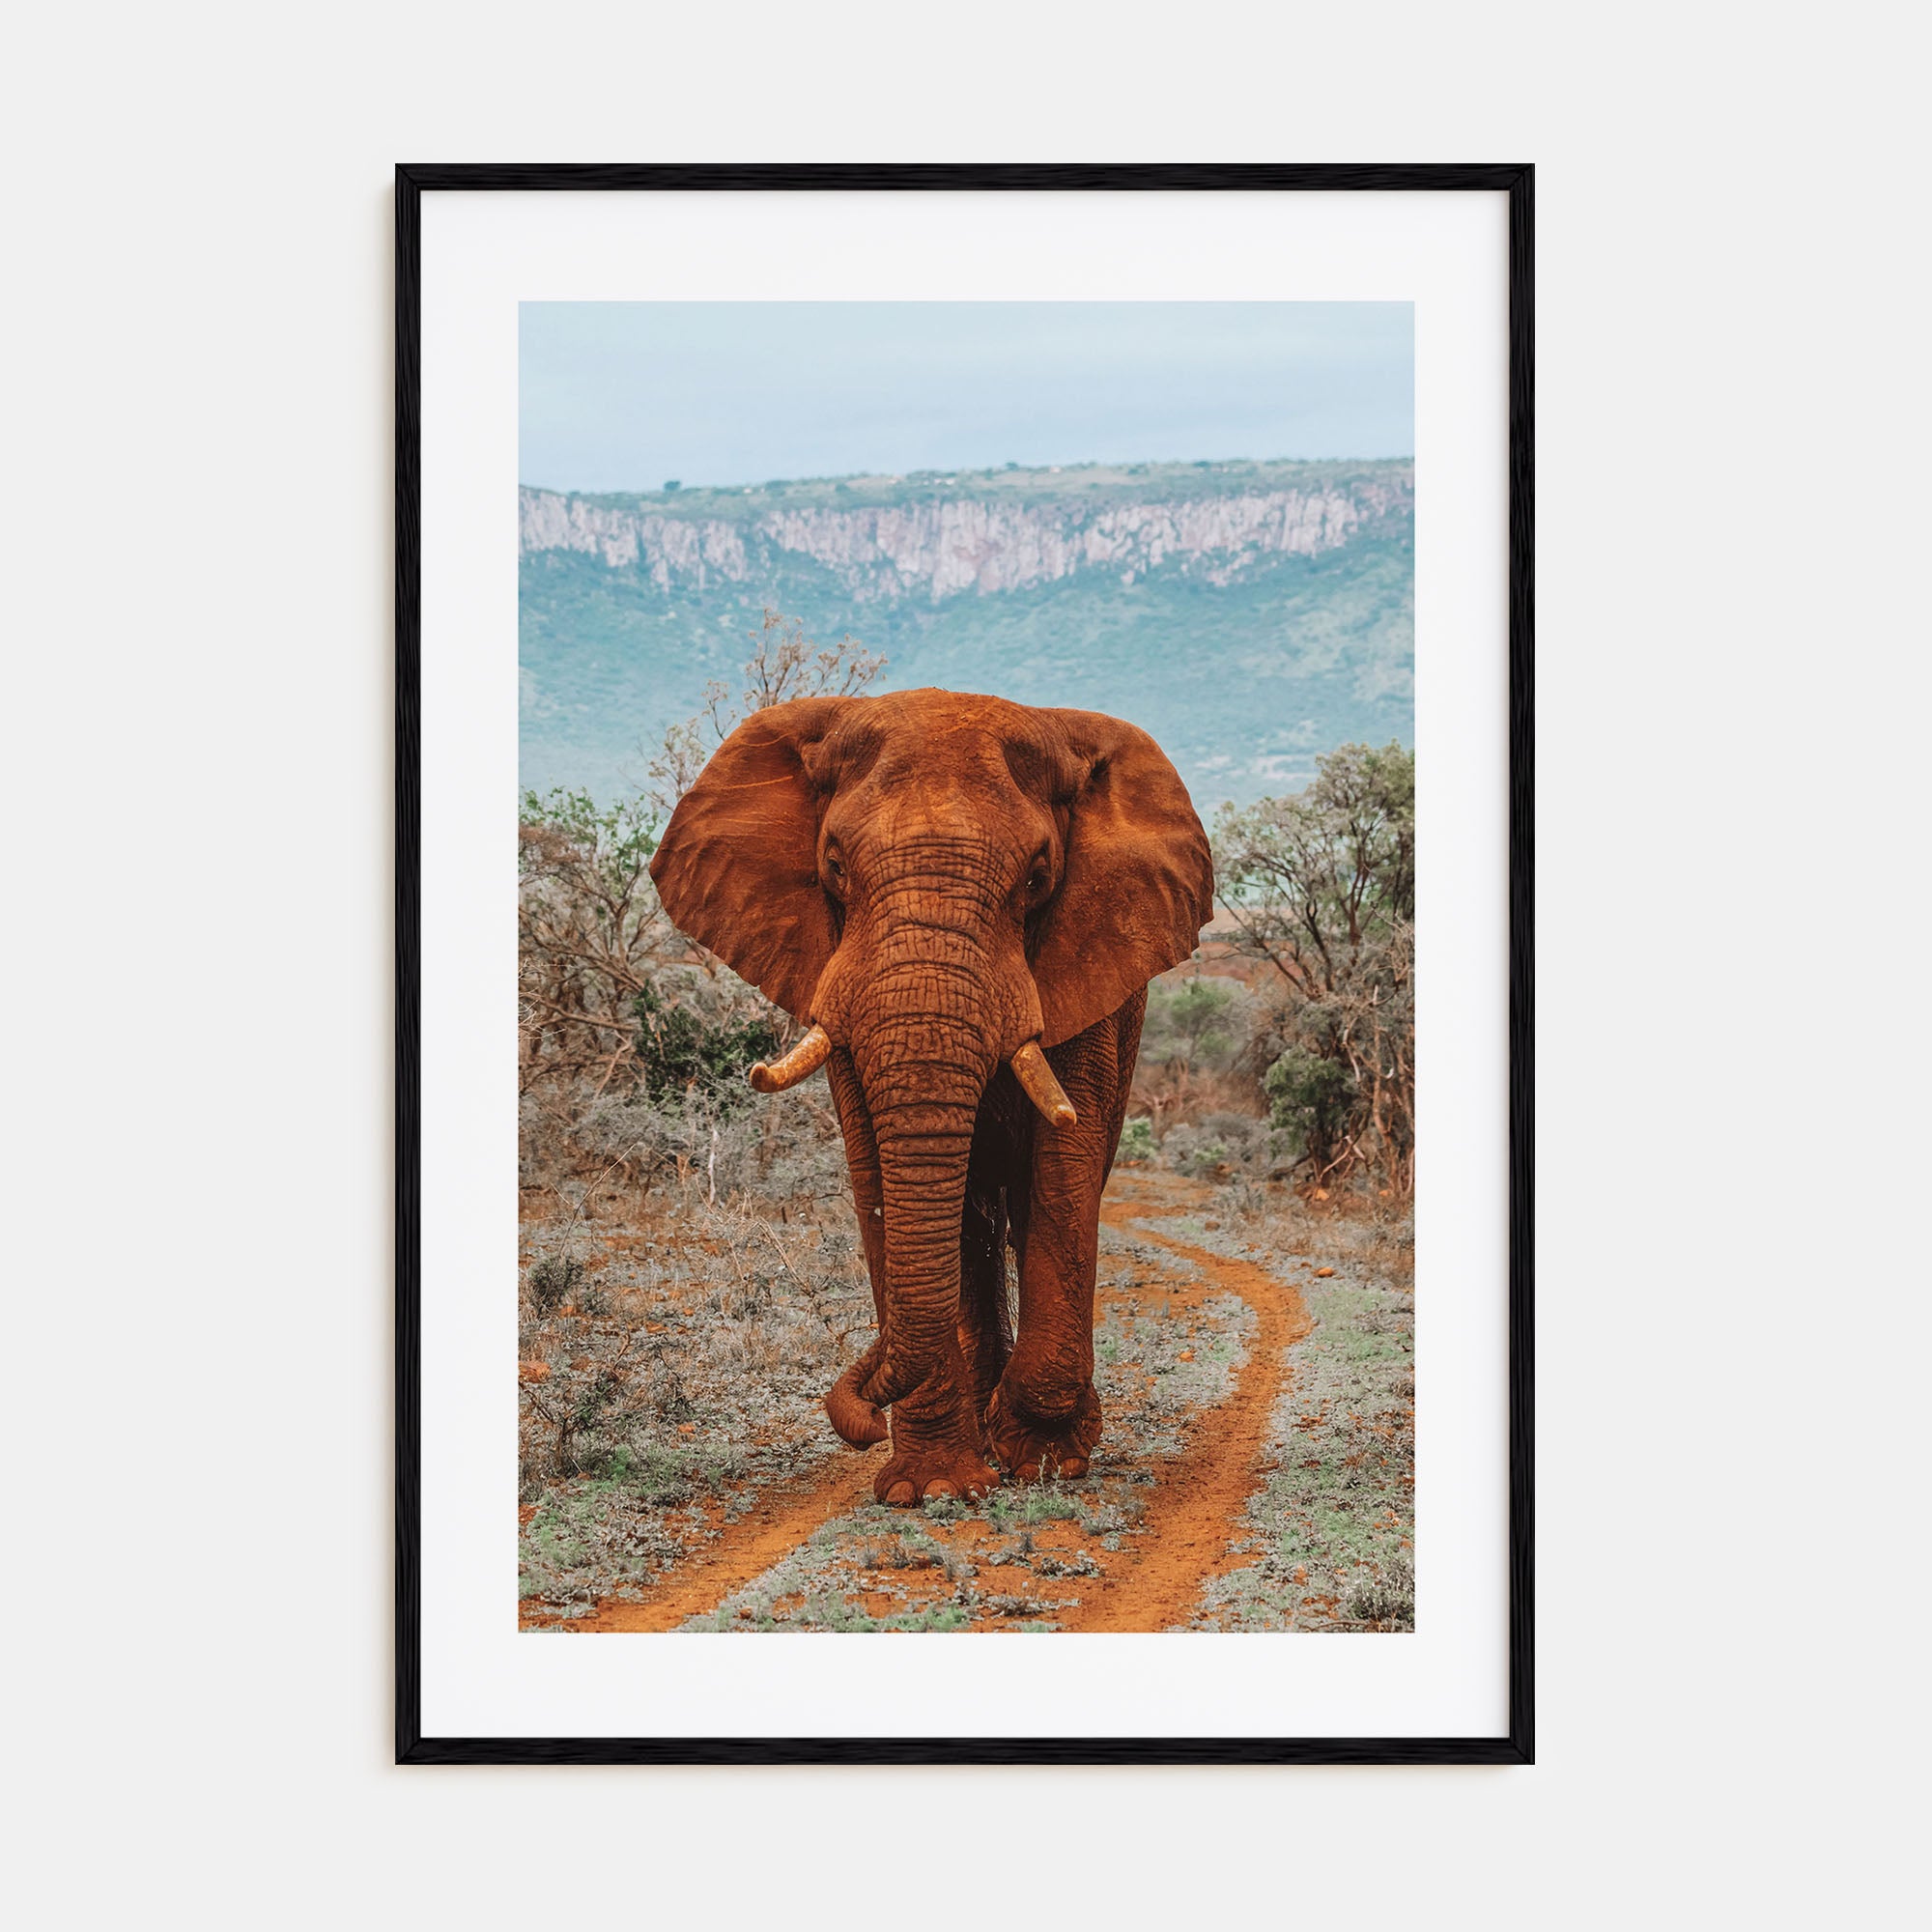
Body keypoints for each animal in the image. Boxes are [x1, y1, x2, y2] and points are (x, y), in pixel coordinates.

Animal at [649, 687, 1214, 1505]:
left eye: (1038, 876)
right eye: (833, 864)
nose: (855, 1418)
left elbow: (1065, 1164)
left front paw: (1047, 1462)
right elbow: (875, 1172)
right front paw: (935, 1489)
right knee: (972, 1227)